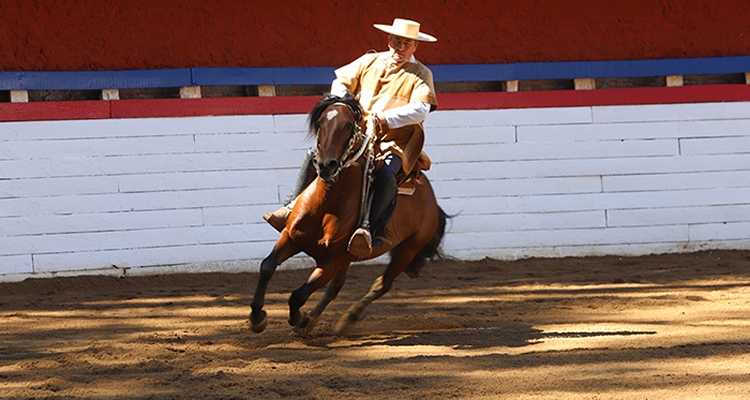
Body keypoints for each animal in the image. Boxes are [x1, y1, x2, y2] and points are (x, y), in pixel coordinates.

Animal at [250, 94, 450, 338]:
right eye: (321, 124)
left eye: (348, 126)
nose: (326, 165)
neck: (327, 204)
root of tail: (431, 198)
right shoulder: (291, 237)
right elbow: (267, 267)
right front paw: (257, 318)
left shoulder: (331, 261)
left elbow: (298, 295)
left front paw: (299, 317)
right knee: (336, 288)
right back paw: (310, 323)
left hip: (407, 251)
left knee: (381, 284)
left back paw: (346, 319)